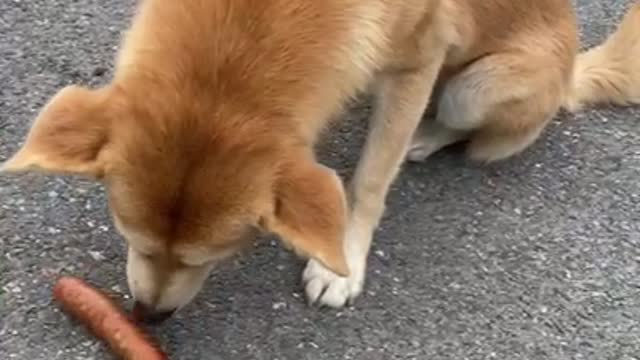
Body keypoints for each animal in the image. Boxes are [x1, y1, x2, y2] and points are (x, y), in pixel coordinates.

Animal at [3, 0, 640, 320]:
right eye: (129, 238)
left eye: (214, 256)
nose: (145, 317)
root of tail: (570, 73)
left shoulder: (418, 59)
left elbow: (370, 181)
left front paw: (343, 265)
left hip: (477, 87)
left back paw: (425, 137)